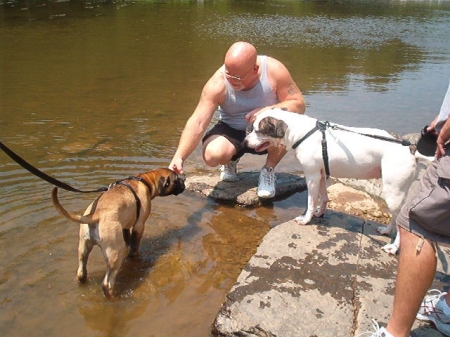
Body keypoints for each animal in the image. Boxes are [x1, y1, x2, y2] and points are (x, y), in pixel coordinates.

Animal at [51, 167, 185, 296]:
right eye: (176, 179)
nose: (184, 180)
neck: (145, 180)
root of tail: (95, 214)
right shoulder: (139, 225)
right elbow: (134, 245)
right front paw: (134, 255)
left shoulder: (124, 227)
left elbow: (128, 240)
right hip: (114, 254)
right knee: (107, 284)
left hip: (83, 247)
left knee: (81, 272)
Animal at [244, 109, 416, 253]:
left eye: (258, 130)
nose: (245, 142)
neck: (300, 132)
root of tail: (410, 150)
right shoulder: (320, 175)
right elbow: (324, 197)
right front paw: (320, 213)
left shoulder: (312, 176)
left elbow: (311, 202)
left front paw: (306, 219)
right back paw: (386, 231)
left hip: (393, 191)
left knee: (400, 222)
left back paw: (394, 247)